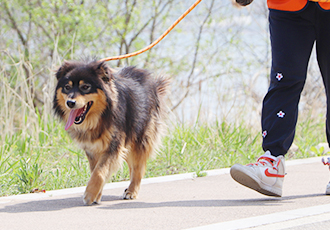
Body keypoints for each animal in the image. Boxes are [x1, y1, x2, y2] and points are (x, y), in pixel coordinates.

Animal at [53, 59, 170, 205]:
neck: (99, 117)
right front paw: (96, 194)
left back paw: (132, 191)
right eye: (67, 88)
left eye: (85, 87)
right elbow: (96, 170)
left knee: (138, 168)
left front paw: (90, 194)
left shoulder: (114, 145)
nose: (70, 102)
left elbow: (99, 172)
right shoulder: (92, 148)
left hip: (139, 138)